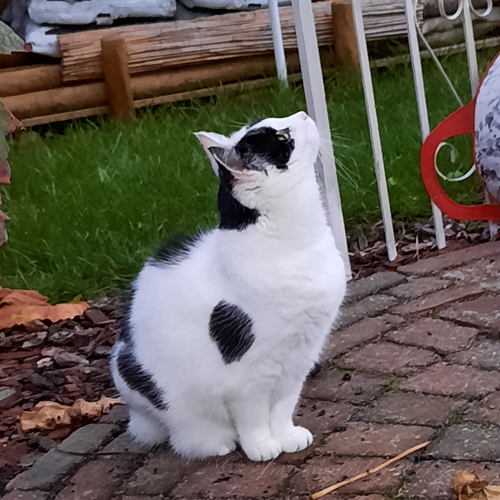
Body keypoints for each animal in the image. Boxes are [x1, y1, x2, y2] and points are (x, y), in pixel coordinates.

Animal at [110, 111, 347, 462]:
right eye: (282, 138)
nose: (303, 113)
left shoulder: (297, 361)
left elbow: (283, 407)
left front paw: (287, 436)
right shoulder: (246, 378)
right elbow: (253, 417)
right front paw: (261, 446)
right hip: (141, 380)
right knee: (184, 434)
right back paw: (216, 442)